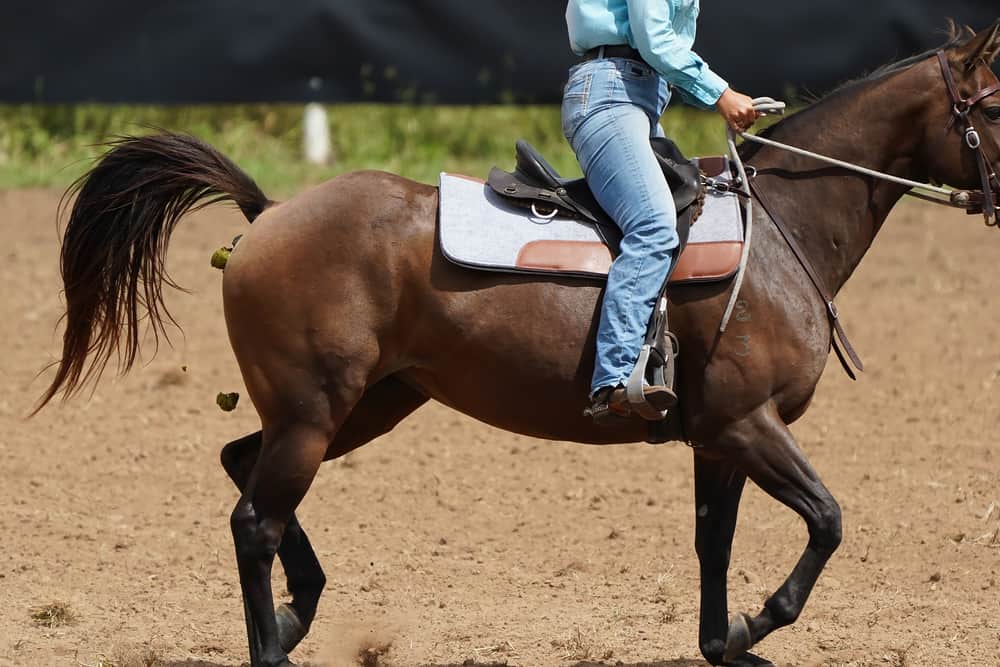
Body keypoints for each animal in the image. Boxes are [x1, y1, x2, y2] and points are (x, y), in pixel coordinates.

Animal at [36, 22, 1000, 667]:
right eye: (993, 104)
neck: (777, 230)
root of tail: (271, 213)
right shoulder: (745, 423)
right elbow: (828, 518)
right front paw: (760, 621)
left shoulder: (717, 437)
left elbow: (714, 543)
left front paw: (724, 640)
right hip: (316, 412)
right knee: (253, 519)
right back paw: (274, 642)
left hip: (364, 404)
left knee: (241, 467)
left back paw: (297, 612)